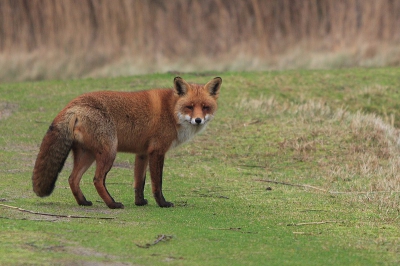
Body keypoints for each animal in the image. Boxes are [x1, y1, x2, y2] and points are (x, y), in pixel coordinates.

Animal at [31, 76, 222, 208]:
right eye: (189, 107)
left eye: (205, 107)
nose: (198, 120)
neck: (171, 110)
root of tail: (73, 105)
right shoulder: (157, 151)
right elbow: (157, 184)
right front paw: (162, 204)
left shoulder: (143, 153)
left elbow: (139, 182)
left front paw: (139, 202)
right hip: (109, 151)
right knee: (97, 180)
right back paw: (112, 204)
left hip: (88, 154)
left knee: (73, 179)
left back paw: (83, 202)